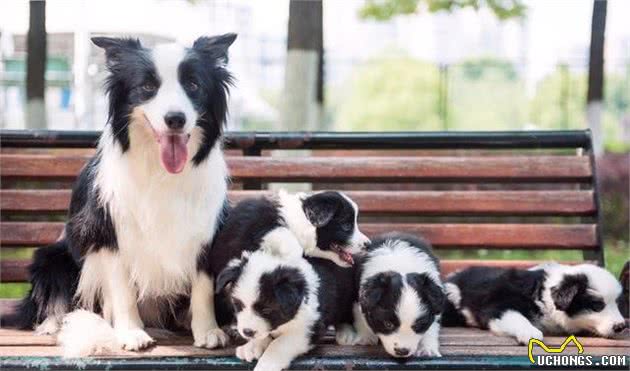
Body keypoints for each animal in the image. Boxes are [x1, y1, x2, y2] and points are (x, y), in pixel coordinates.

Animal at [3, 33, 237, 354]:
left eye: (193, 85)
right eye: (148, 87)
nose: (175, 119)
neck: (160, 170)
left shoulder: (205, 230)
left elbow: (202, 286)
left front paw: (207, 330)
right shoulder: (109, 233)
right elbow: (122, 288)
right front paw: (130, 332)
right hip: (52, 258)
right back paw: (58, 324)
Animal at [215, 250, 358, 371]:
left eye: (267, 309)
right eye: (238, 306)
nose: (247, 332)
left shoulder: (309, 328)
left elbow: (280, 343)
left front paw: (267, 364)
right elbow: (265, 334)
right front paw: (252, 347)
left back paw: (347, 334)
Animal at [442, 264, 628, 344]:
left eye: (618, 304)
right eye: (597, 306)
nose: (621, 326)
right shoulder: (498, 305)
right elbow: (516, 317)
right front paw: (530, 333)